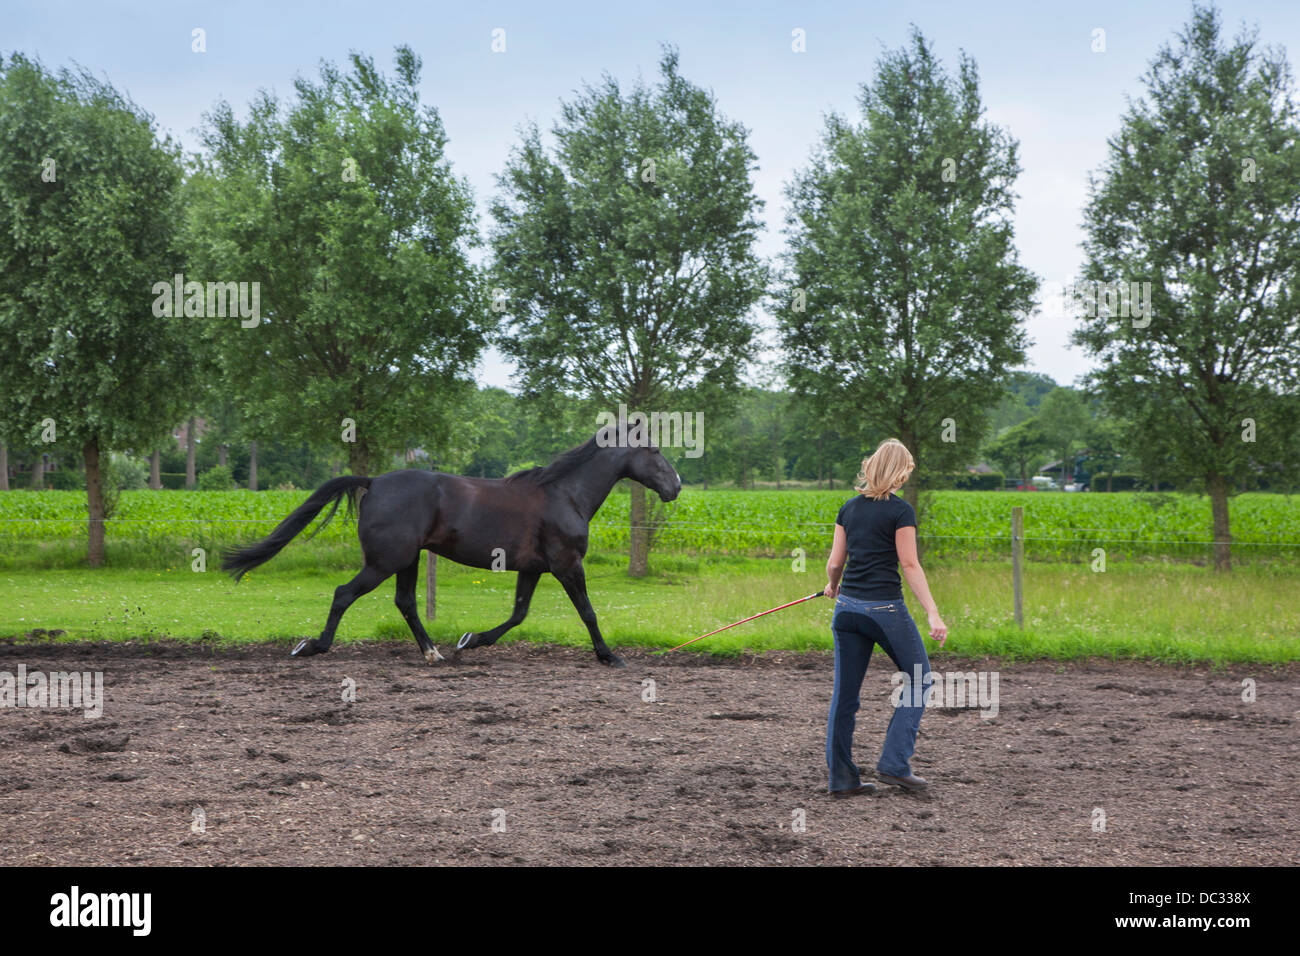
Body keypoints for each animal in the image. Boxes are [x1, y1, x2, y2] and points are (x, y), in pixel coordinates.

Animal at [220, 434, 681, 665]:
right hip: (385, 561)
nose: (676, 486)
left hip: (406, 561)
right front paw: (610, 656)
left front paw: (470, 640)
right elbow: (587, 612)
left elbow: (518, 614)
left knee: (405, 602)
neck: (565, 494)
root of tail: (374, 482)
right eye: (655, 450)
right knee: (344, 594)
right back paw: (313, 646)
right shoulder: (568, 565)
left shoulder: (532, 568)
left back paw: (434, 652)